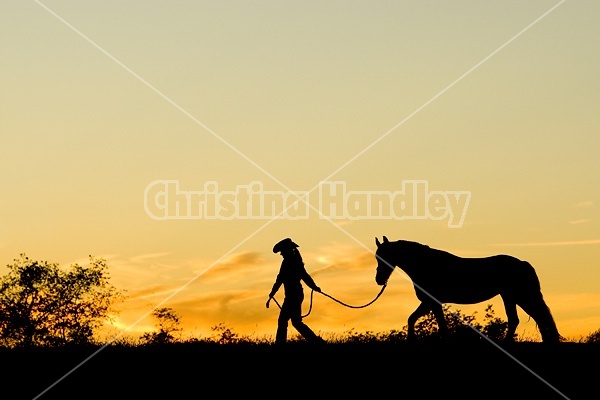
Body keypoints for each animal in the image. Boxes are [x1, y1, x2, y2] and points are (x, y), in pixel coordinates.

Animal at [372, 236, 560, 342]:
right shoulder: (428, 302)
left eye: (384, 256)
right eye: (376, 257)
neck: (426, 264)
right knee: (529, 319)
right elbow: (413, 319)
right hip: (512, 297)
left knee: (533, 318)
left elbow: (440, 325)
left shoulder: (432, 302)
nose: (379, 280)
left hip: (518, 296)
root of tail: (523, 263)